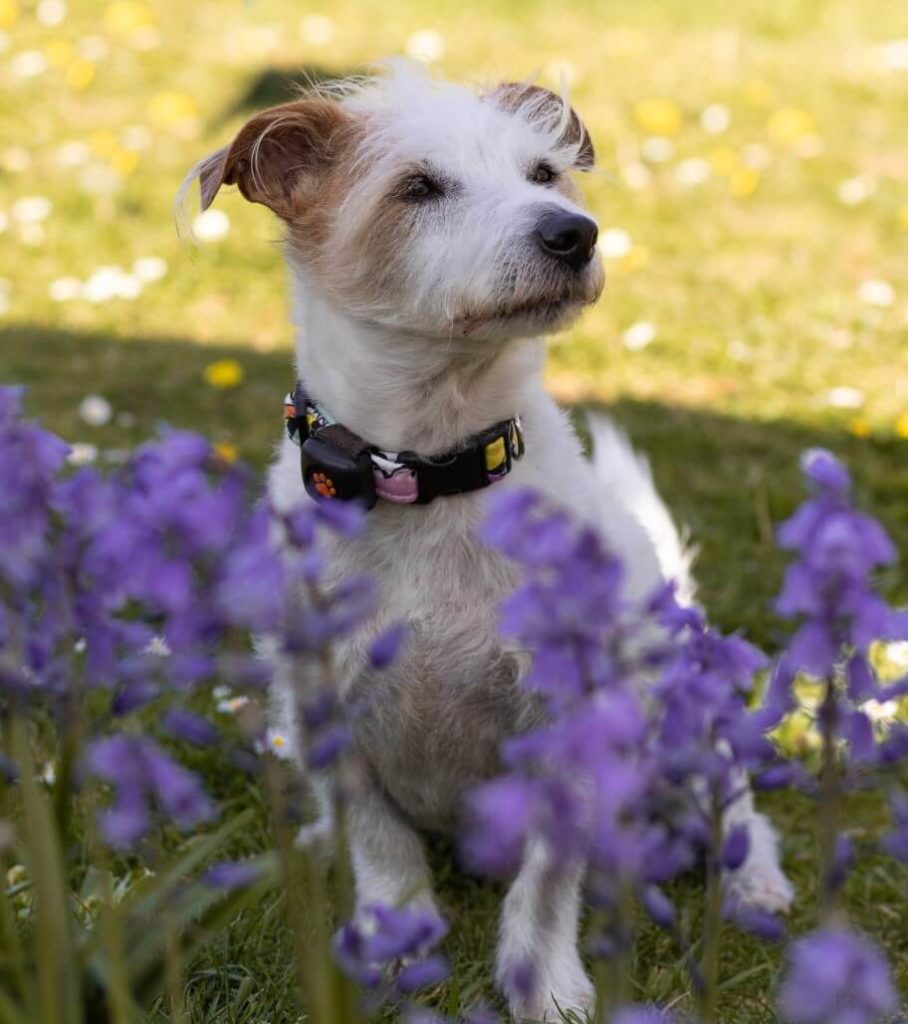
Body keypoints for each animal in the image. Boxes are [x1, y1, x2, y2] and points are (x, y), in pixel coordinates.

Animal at [186, 64, 794, 1024]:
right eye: (417, 188)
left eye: (544, 174)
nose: (574, 234)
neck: (426, 473)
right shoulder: (332, 712)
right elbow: (383, 848)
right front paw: (397, 943)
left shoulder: (565, 724)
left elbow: (546, 881)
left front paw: (544, 985)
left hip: (685, 732)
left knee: (735, 805)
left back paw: (752, 883)